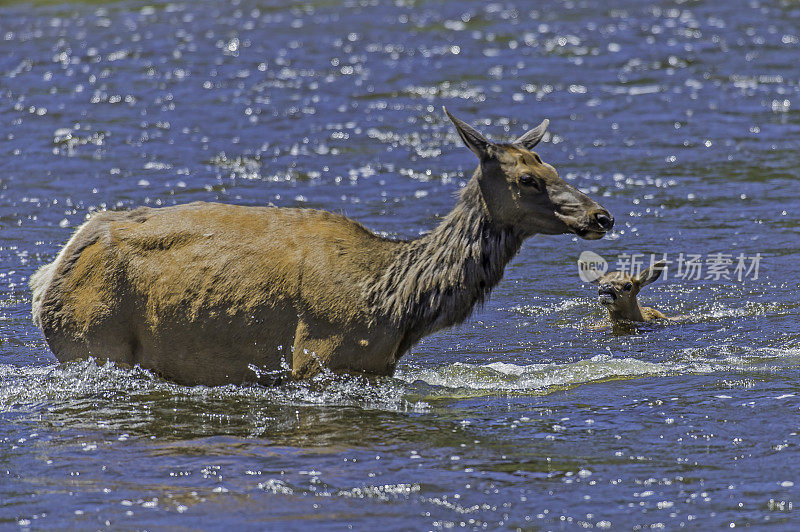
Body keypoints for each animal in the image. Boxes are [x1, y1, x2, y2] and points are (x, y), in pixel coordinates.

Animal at [31, 109, 616, 382]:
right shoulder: (315, 359)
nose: (601, 216)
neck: (393, 302)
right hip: (91, 341)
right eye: (527, 179)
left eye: (552, 166)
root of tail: (46, 279)